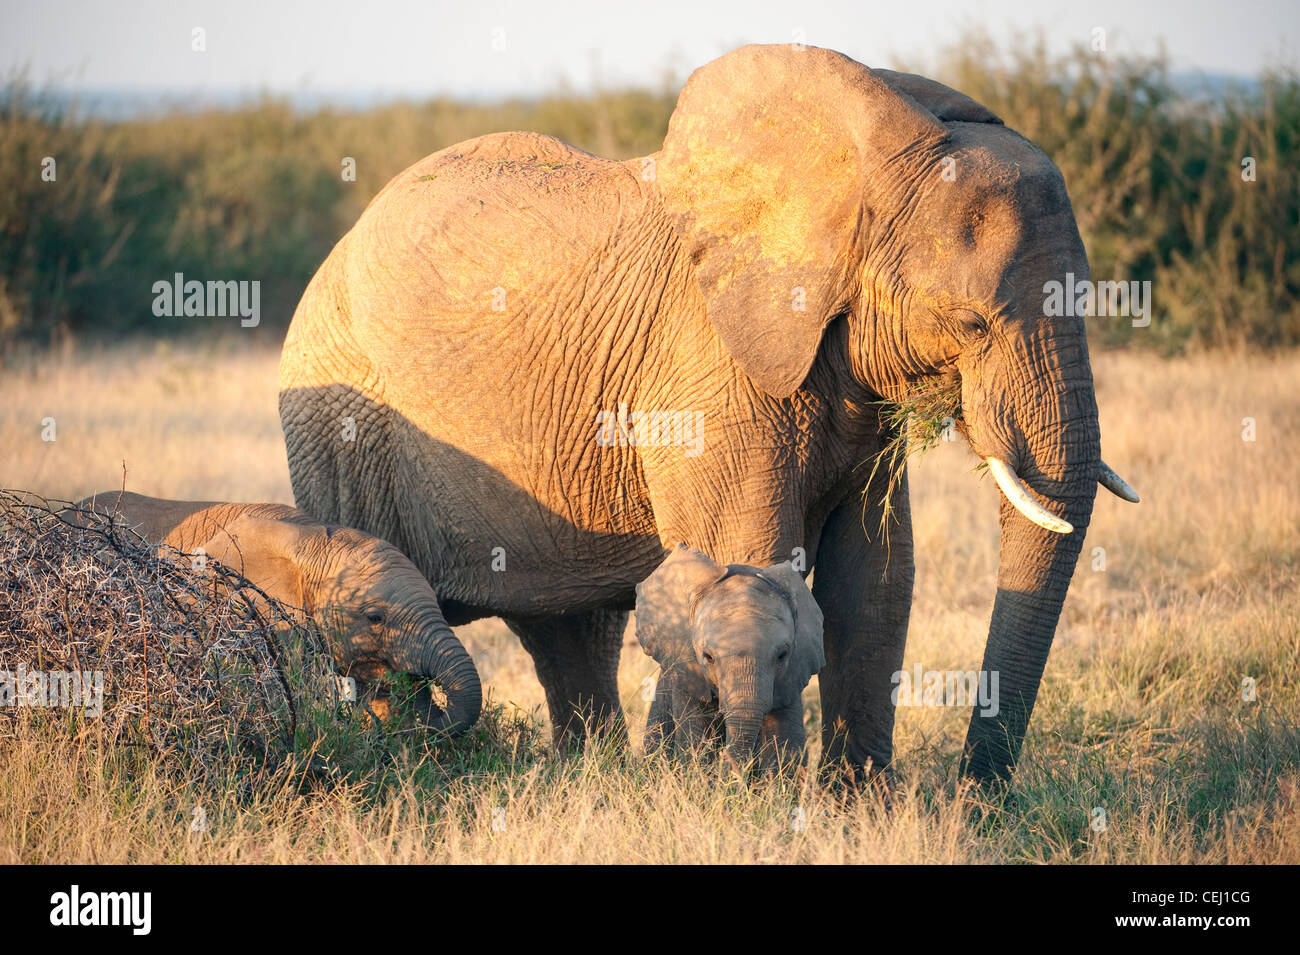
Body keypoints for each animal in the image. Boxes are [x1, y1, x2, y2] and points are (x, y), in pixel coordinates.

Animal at [631, 540, 821, 774]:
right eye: (708, 657)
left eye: (782, 656)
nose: (732, 765)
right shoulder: (689, 670)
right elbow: (697, 739)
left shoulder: (792, 674)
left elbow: (785, 747)